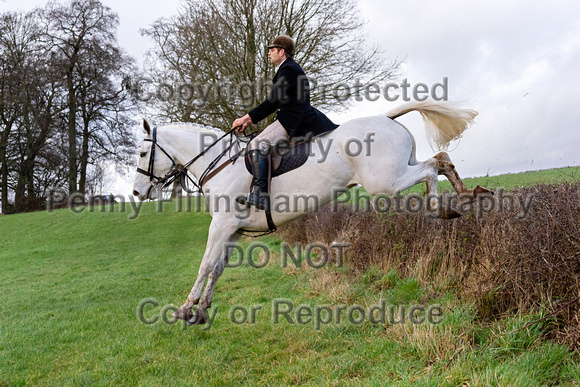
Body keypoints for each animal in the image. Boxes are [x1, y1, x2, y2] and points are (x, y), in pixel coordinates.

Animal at [134, 101, 492, 326]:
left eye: (140, 153)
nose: (138, 193)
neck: (219, 163)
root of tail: (386, 117)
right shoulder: (232, 230)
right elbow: (218, 268)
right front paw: (202, 310)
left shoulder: (221, 225)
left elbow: (206, 265)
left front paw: (184, 309)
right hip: (399, 169)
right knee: (441, 160)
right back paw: (469, 196)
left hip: (386, 181)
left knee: (431, 169)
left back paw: (440, 209)